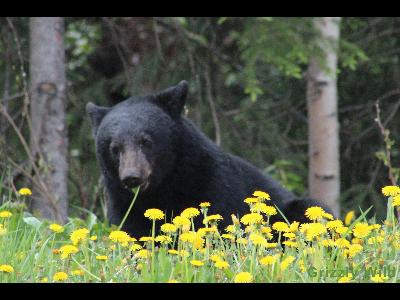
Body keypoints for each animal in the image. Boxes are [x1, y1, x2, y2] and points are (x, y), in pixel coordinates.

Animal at [86, 81, 330, 238]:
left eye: (146, 140)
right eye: (115, 148)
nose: (132, 177)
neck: (163, 187)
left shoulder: (211, 183)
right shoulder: (123, 202)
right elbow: (132, 231)